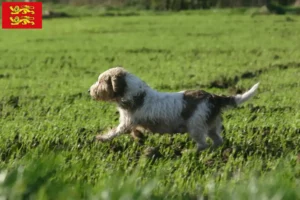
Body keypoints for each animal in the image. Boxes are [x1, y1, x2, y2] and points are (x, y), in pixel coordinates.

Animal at [88, 67, 258, 152]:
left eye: (101, 81)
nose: (89, 91)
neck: (134, 93)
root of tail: (213, 97)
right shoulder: (132, 123)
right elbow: (134, 131)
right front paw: (139, 137)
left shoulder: (126, 123)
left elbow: (115, 132)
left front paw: (101, 138)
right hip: (211, 125)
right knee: (217, 140)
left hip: (196, 126)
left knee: (203, 144)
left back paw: (190, 152)